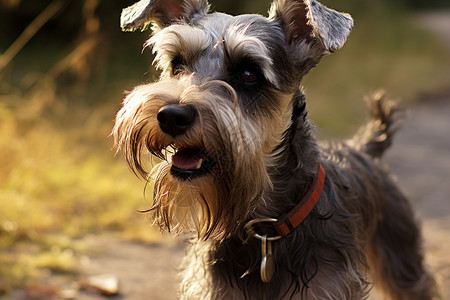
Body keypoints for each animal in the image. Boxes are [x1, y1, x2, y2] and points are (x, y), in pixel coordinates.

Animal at [112, 0, 440, 298]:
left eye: (248, 74)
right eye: (178, 64)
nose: (171, 116)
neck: (264, 228)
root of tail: (364, 148)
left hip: (402, 262)